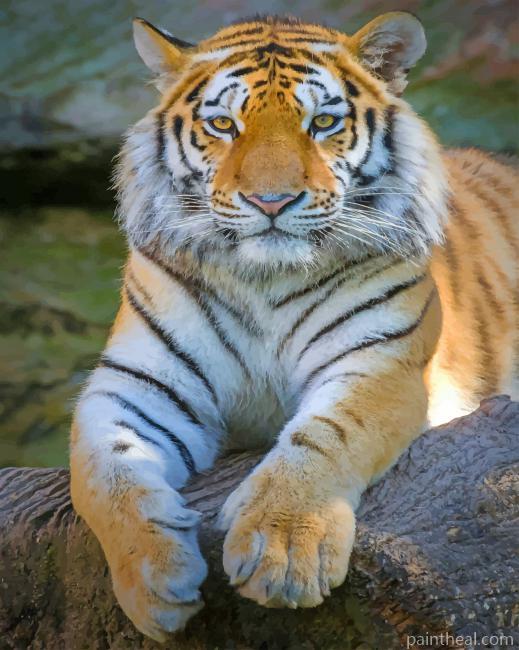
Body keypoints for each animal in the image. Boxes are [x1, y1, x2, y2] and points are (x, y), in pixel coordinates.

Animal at [69, 12, 519, 642]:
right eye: (223, 125)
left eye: (323, 122)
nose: (271, 201)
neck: (264, 280)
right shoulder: (136, 383)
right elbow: (101, 471)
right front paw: (152, 577)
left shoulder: (380, 361)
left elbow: (325, 437)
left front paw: (280, 552)